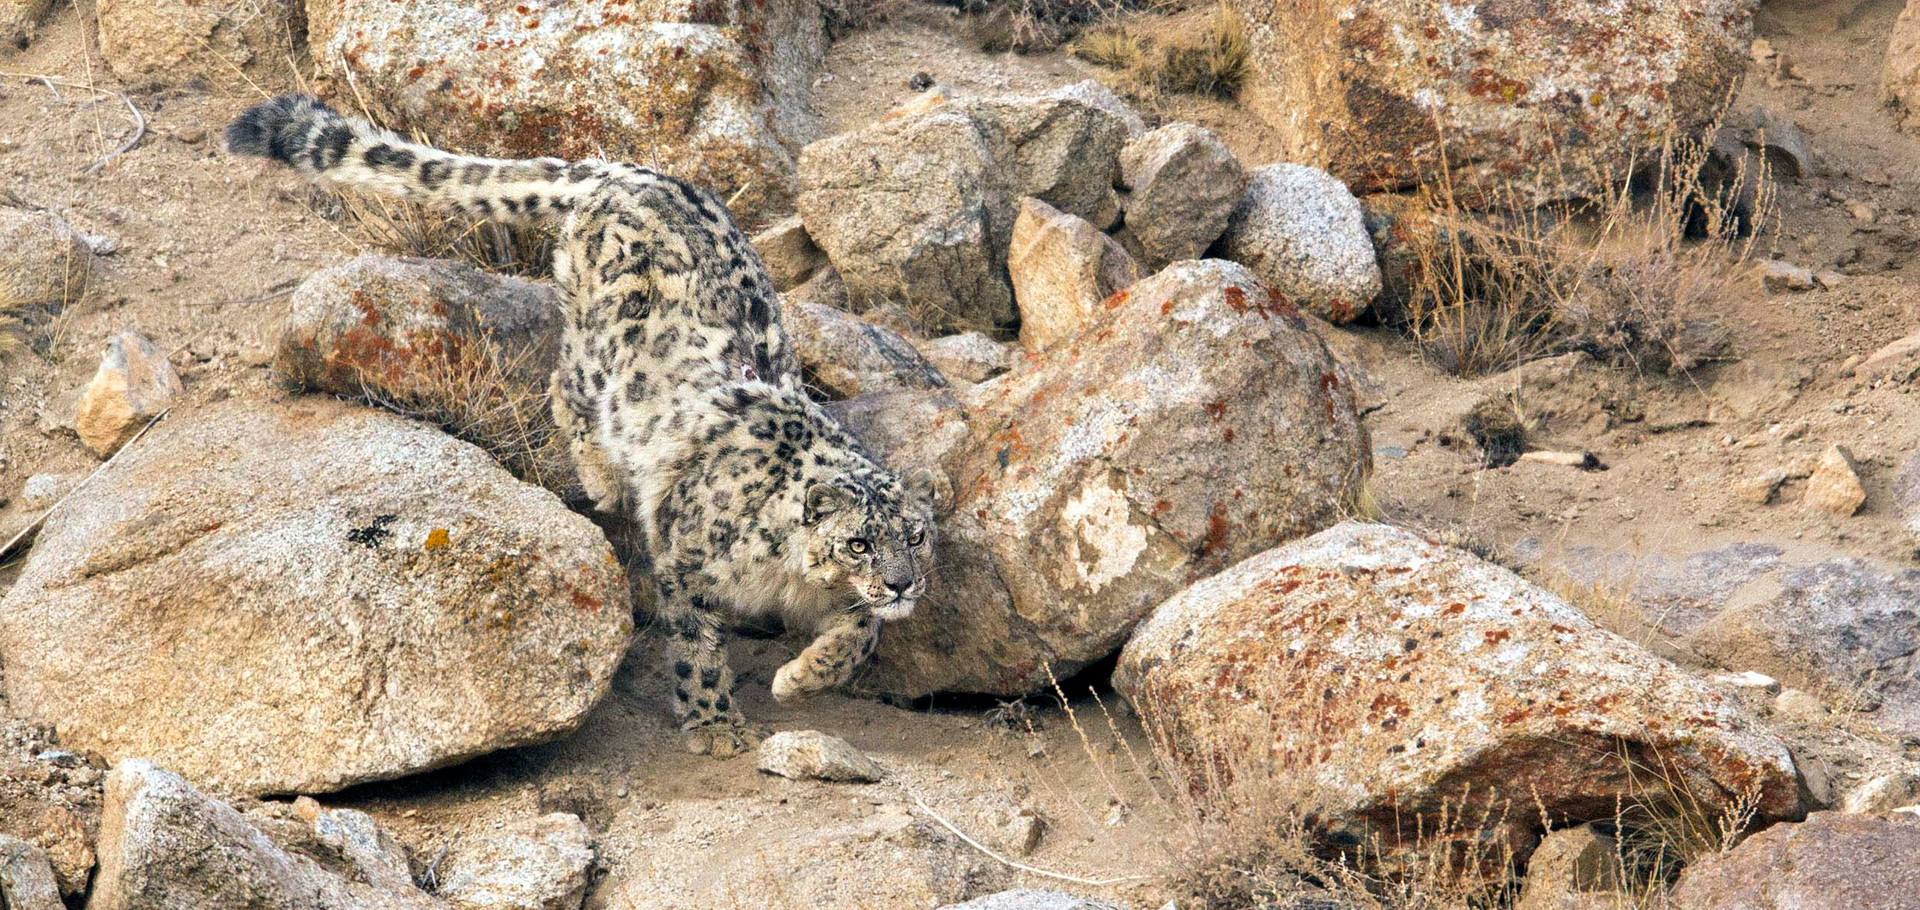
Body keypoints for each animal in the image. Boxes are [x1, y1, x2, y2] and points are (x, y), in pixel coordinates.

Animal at [226, 95, 938, 757]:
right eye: (859, 543)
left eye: (916, 535)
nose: (904, 583)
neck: (789, 577)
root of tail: (626, 171)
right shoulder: (685, 561)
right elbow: (695, 644)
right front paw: (715, 723)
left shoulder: (843, 602)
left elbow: (863, 632)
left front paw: (801, 676)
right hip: (599, 351)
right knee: (564, 385)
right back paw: (602, 477)